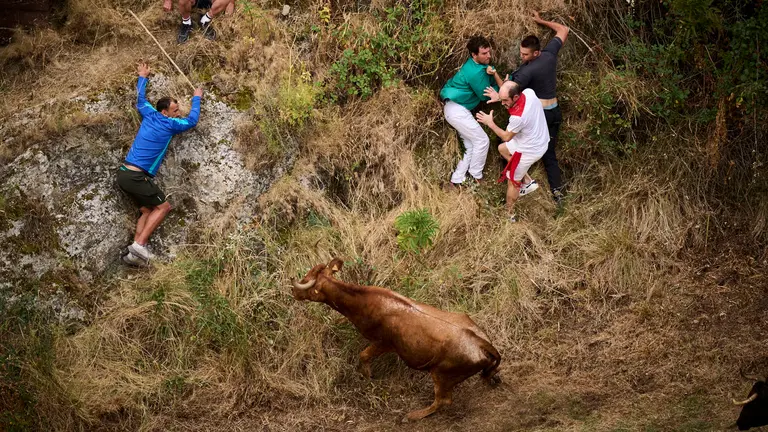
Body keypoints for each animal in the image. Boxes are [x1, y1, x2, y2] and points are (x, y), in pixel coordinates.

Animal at [290, 258, 502, 421]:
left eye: (305, 280)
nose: (293, 291)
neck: (359, 301)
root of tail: (483, 343)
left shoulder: (383, 342)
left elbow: (363, 355)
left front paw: (368, 376)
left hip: (441, 373)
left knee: (443, 400)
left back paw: (414, 415)